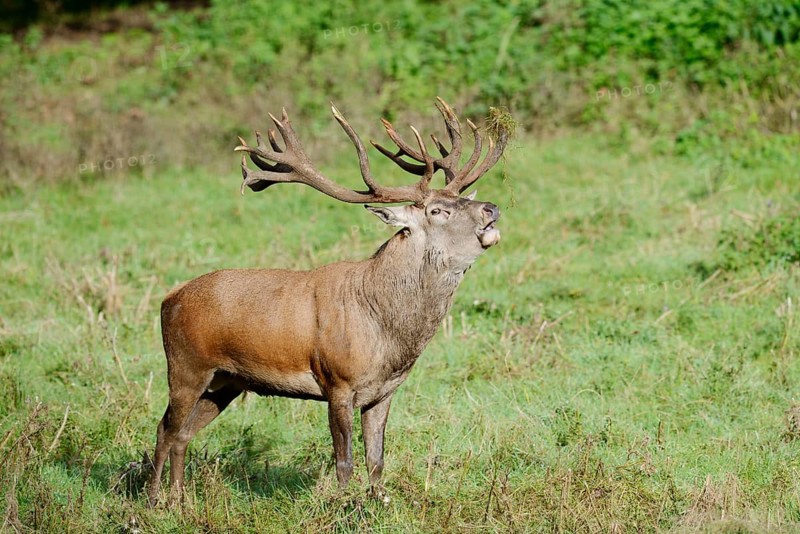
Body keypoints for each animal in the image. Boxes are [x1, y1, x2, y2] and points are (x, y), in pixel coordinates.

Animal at [147, 98, 511, 506]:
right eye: (437, 210)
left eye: (464, 197)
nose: (491, 208)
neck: (386, 330)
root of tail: (168, 300)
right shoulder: (337, 381)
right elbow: (344, 461)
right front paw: (341, 506)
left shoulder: (384, 392)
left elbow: (376, 460)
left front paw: (379, 503)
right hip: (185, 366)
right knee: (165, 428)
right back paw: (153, 502)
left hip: (225, 381)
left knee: (183, 433)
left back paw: (178, 499)